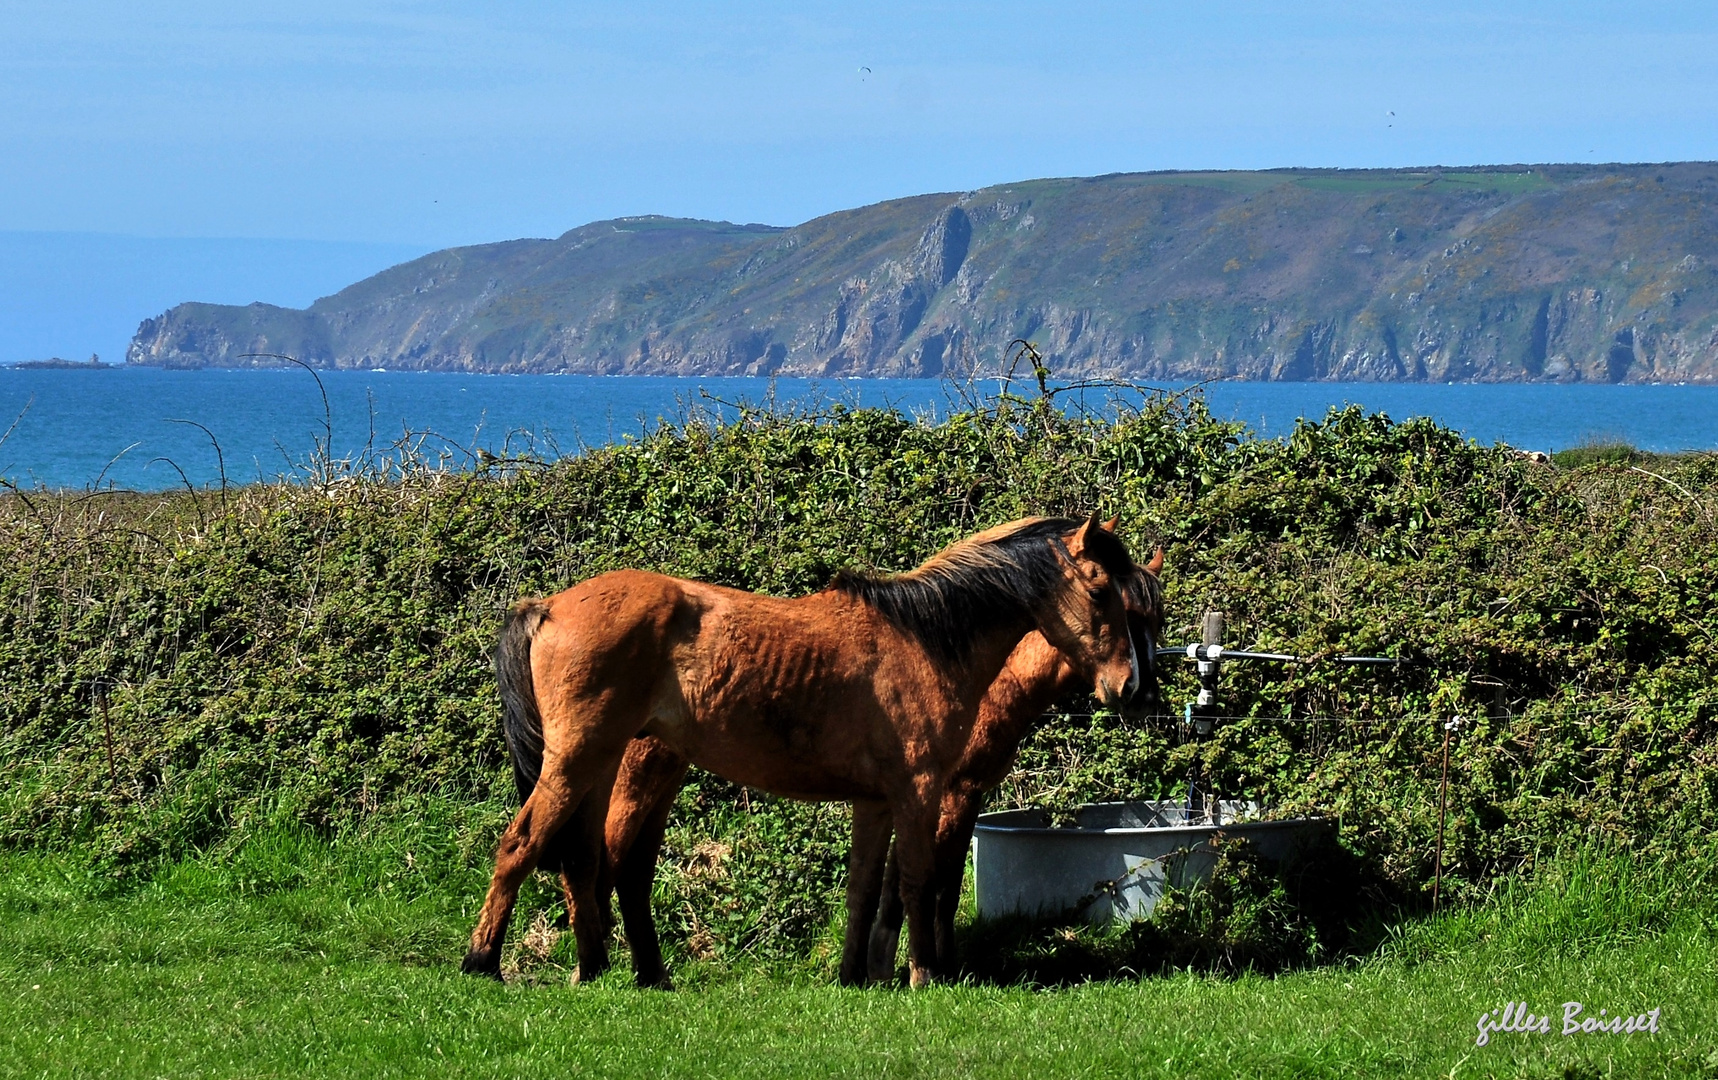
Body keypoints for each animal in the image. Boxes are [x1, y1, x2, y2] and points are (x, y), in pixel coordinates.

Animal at [470, 515, 1140, 988]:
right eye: (1101, 592)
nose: (1129, 686)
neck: (925, 637)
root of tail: (547, 606)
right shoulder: (923, 791)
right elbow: (919, 880)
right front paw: (924, 975)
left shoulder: (876, 802)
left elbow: (864, 887)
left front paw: (855, 978)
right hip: (578, 761)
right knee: (523, 844)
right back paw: (483, 961)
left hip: (607, 766)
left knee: (590, 862)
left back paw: (605, 971)